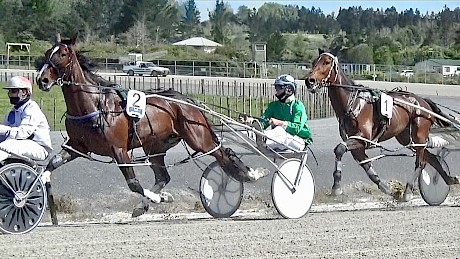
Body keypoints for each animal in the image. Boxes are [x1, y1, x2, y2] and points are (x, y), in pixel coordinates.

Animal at [35, 35, 262, 218]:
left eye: (63, 54)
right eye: (48, 53)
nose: (41, 79)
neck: (94, 105)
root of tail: (187, 100)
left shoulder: (119, 150)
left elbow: (134, 184)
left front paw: (158, 198)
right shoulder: (77, 147)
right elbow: (51, 164)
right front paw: (39, 182)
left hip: (198, 137)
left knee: (224, 153)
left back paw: (249, 174)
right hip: (155, 147)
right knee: (164, 176)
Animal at [304, 49, 458, 202]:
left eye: (326, 62)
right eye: (314, 62)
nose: (309, 81)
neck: (352, 103)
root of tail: (423, 101)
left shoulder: (362, 139)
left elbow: (339, 149)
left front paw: (336, 187)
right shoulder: (357, 144)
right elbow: (368, 168)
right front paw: (388, 189)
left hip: (419, 136)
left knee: (421, 163)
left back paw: (408, 192)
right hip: (407, 138)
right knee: (432, 158)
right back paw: (448, 179)